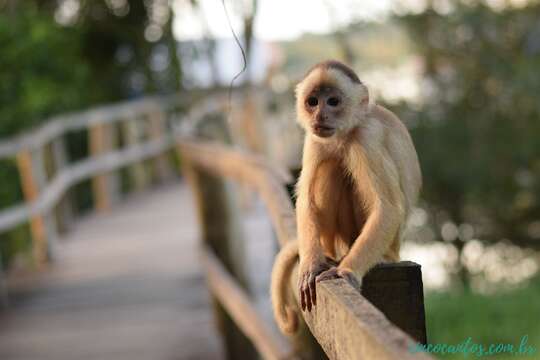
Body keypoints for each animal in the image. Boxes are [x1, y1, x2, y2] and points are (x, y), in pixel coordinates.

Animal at [270, 61, 422, 334]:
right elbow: (305, 202)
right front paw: (310, 266)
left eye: (332, 101)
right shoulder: (314, 138)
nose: (320, 115)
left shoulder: (367, 137)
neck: (346, 131)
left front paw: (346, 273)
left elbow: (388, 208)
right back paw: (328, 256)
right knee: (330, 166)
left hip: (387, 246)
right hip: (336, 238)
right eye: (312, 102)